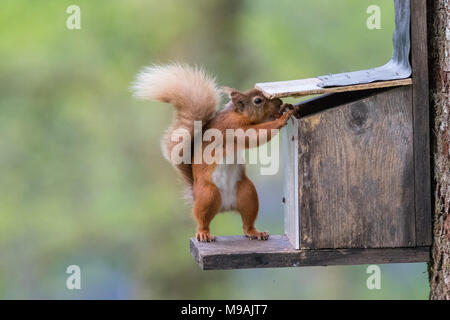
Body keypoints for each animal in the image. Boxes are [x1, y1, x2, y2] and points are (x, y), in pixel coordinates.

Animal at [133, 63, 296, 242]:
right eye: (258, 101)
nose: (280, 102)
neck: (236, 114)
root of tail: (225, 206)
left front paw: (285, 109)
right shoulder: (232, 127)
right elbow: (254, 135)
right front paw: (282, 118)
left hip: (248, 193)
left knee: (247, 222)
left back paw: (255, 233)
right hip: (208, 195)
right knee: (202, 219)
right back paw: (203, 233)